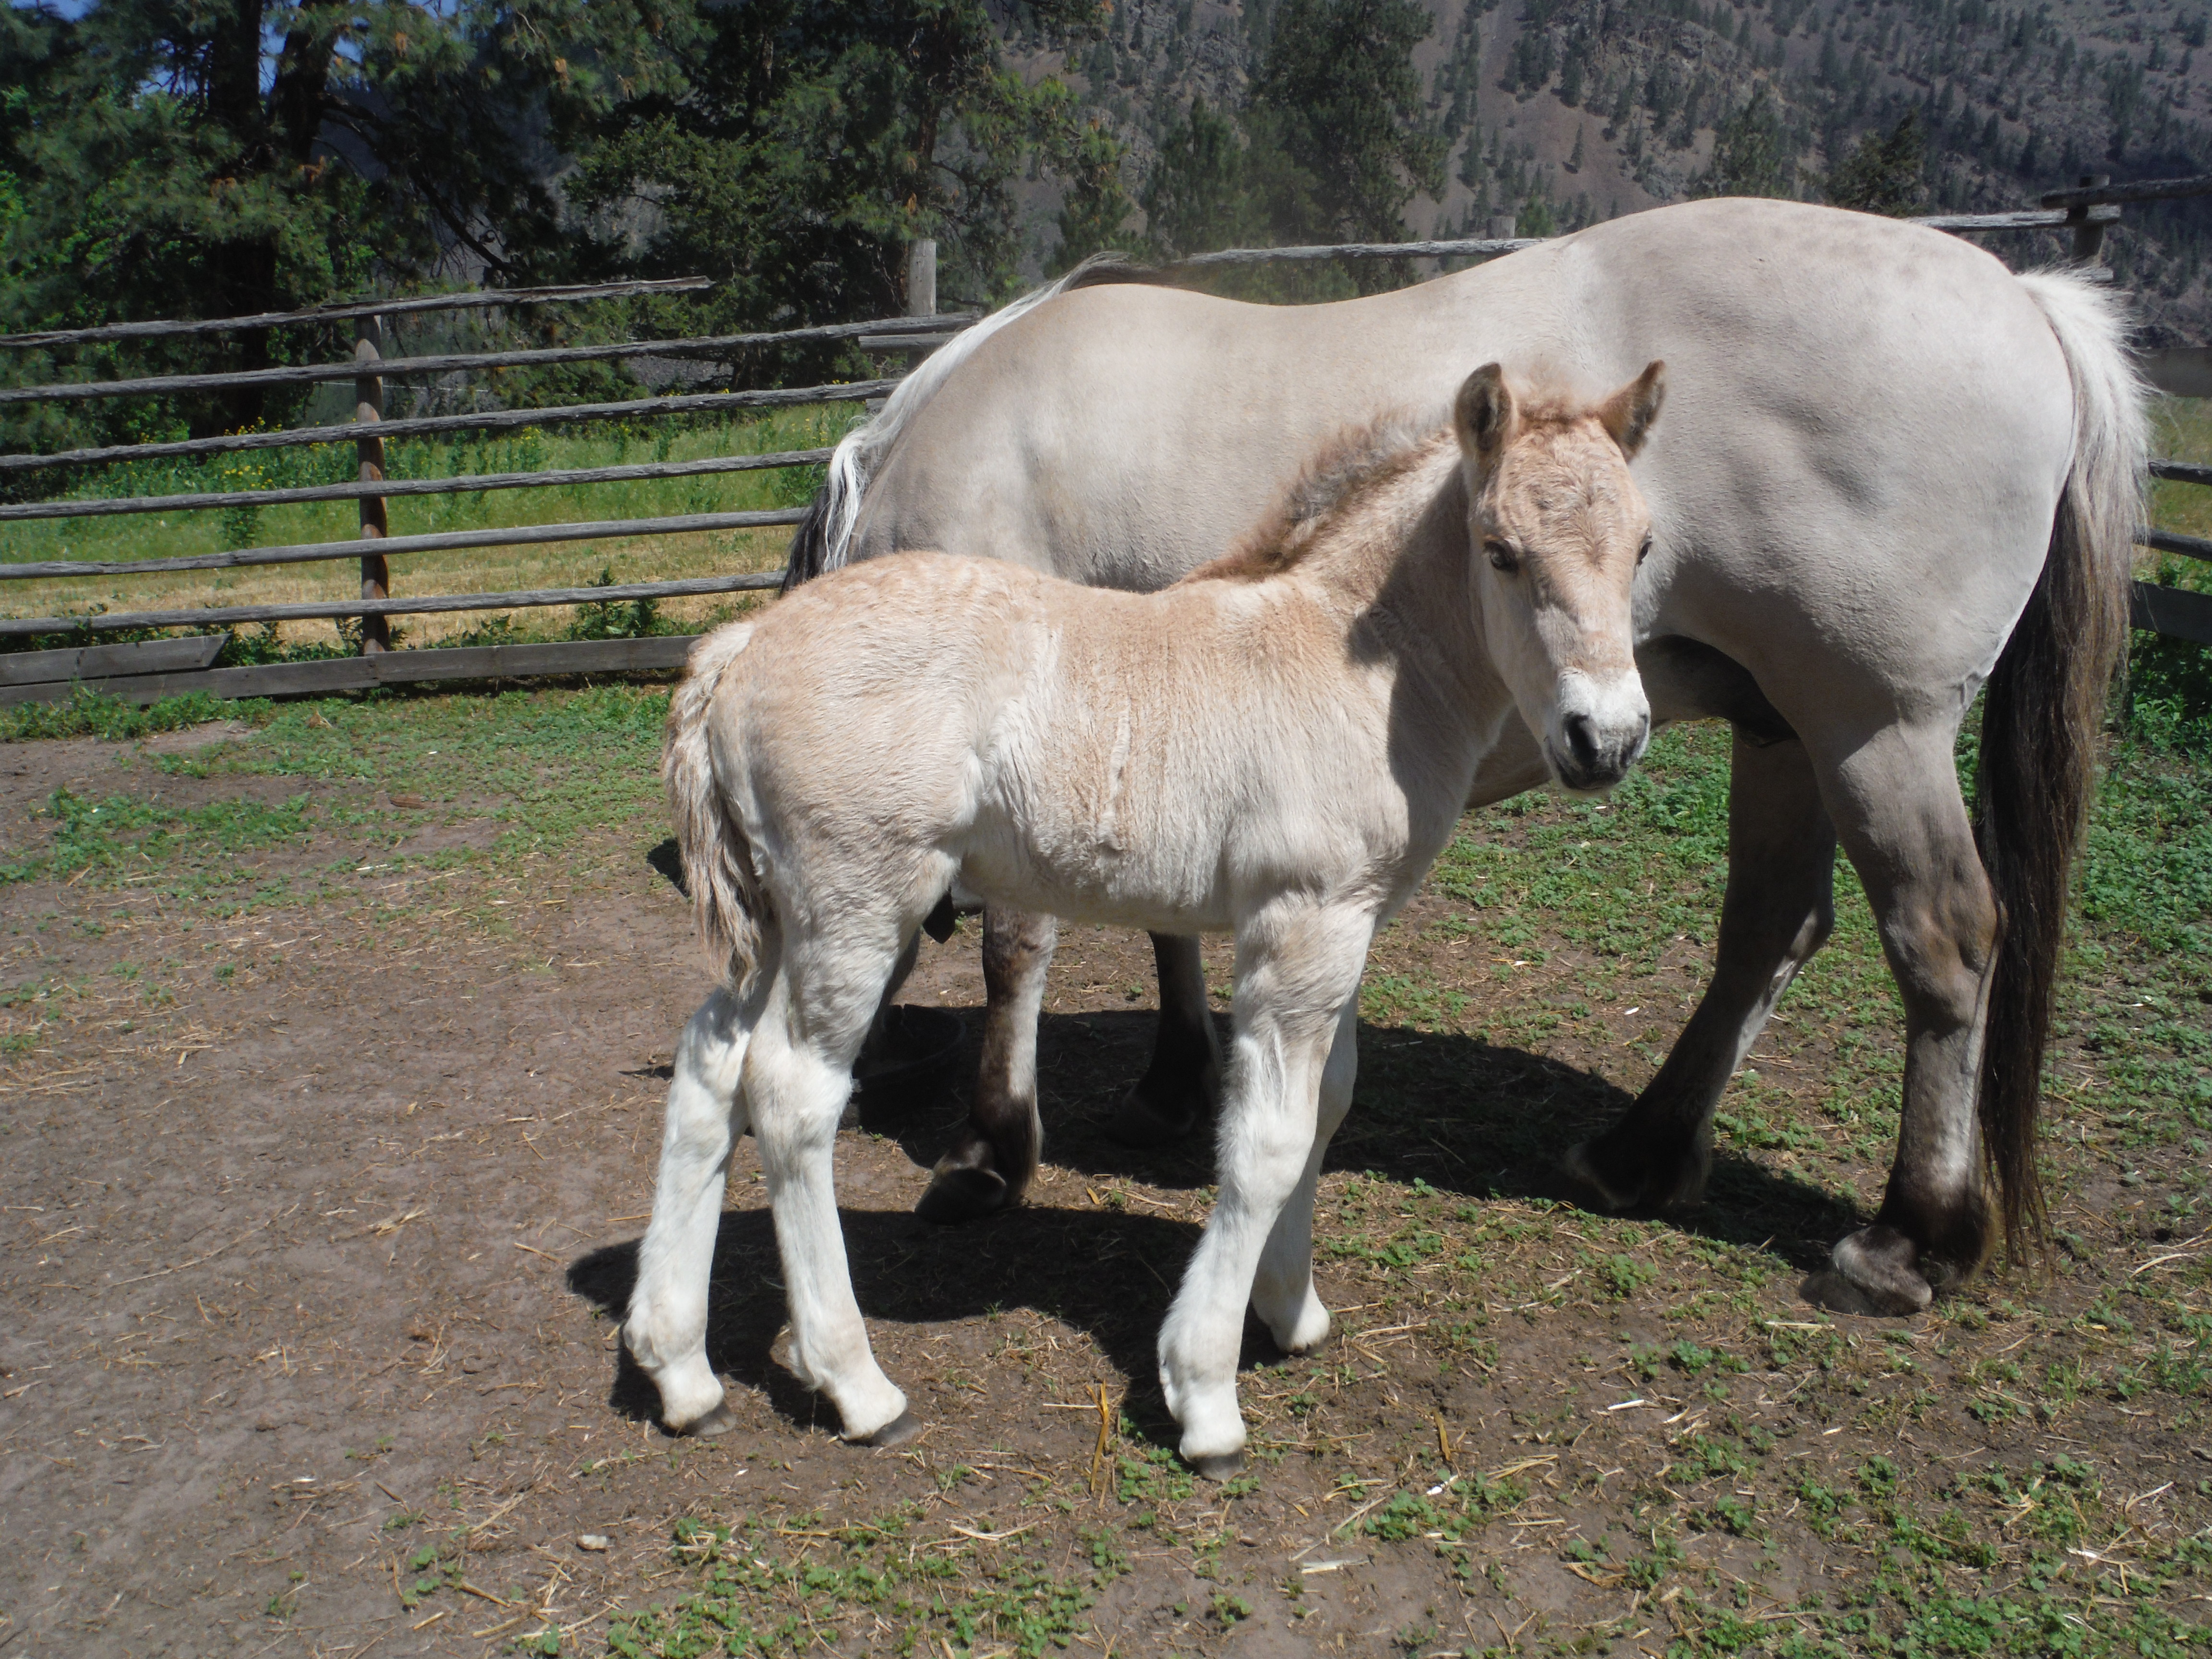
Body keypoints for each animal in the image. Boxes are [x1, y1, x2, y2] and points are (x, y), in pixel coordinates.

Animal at [625, 362, 1668, 1470]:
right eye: (1500, 549)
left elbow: (1327, 1105)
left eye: (1643, 546)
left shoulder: (1350, 920)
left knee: (712, 1058)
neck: (1351, 663)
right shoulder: (1301, 926)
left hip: (779, 912)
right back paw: (857, 1385)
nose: (1605, 739)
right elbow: (1266, 1139)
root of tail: (741, 644)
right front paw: (1204, 1391)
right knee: (791, 1091)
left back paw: (680, 1369)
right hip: (859, 903)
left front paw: (1289, 1311)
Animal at [788, 198, 2144, 1319]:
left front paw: (989, 1150)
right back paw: (1643, 1153)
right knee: (1771, 929)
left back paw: (1909, 1236)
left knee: (1943, 938)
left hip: (1876, 733)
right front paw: (1172, 1081)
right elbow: (1160, 916)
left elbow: (1022, 945)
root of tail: (2026, 297)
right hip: (1788, 737)